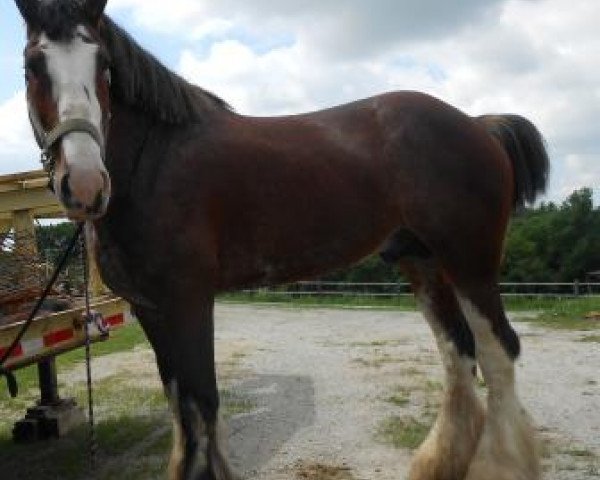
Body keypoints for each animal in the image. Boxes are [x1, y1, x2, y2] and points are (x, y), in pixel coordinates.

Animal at [15, 0, 548, 480]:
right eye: (31, 67)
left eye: (103, 65)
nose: (86, 184)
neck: (156, 161)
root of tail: (478, 125)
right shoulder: (152, 309)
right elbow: (182, 411)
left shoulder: (188, 301)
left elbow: (202, 404)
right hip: (423, 263)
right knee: (458, 353)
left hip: (470, 262)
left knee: (499, 353)